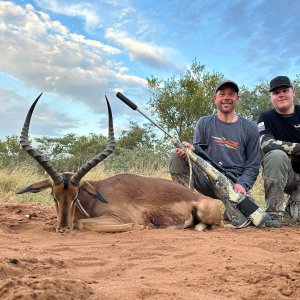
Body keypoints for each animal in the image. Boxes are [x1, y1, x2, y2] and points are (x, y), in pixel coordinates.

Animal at [17, 94, 223, 232]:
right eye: (54, 195)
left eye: (75, 197)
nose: (63, 228)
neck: (95, 195)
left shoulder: (119, 216)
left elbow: (80, 222)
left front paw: (144, 227)